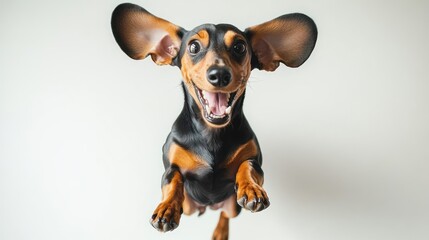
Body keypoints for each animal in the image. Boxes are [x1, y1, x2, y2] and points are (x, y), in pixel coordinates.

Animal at [111, 2, 318, 239]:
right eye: (193, 47)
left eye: (240, 47)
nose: (219, 74)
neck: (212, 133)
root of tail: (207, 206)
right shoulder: (171, 167)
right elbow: (174, 181)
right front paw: (166, 209)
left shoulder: (255, 162)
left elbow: (247, 167)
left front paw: (251, 189)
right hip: (189, 207)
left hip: (232, 206)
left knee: (225, 215)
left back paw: (220, 231)